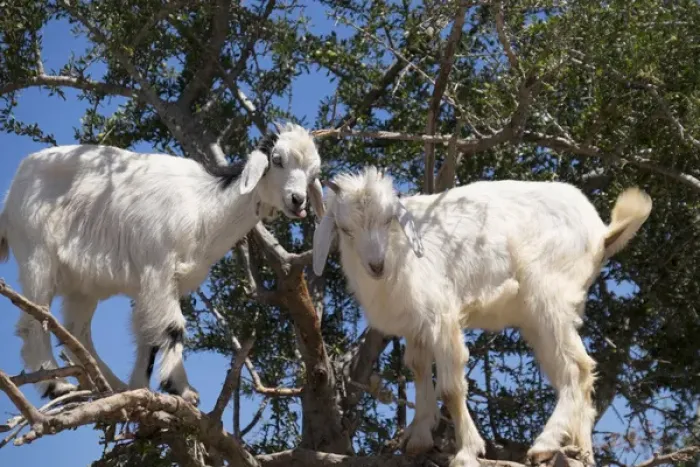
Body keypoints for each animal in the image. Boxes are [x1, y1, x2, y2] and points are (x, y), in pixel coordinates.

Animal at [0, 123, 324, 405]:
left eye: (313, 173)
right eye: (277, 160)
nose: (298, 200)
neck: (204, 208)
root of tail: (10, 194)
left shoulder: (161, 284)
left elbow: (149, 332)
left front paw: (140, 387)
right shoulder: (158, 268)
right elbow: (172, 327)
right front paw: (181, 388)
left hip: (83, 285)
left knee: (76, 332)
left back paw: (112, 386)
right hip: (37, 254)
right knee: (34, 320)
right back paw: (57, 385)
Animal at [312, 167, 651, 467]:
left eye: (388, 219)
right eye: (345, 229)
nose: (376, 265)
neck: (401, 252)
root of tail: (602, 232)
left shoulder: (442, 315)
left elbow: (450, 389)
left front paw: (466, 452)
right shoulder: (416, 324)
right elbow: (418, 369)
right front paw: (419, 437)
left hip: (549, 296)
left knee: (577, 369)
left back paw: (544, 444)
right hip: (543, 317)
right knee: (574, 373)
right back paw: (579, 451)